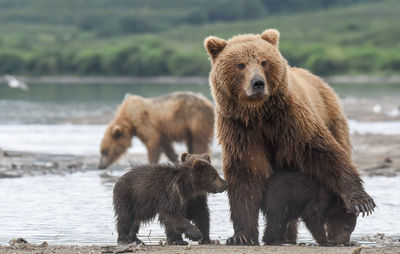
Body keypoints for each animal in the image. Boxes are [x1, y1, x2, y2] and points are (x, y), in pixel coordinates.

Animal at [203, 28, 376, 245]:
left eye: (264, 62)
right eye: (240, 65)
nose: (258, 83)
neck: (258, 114)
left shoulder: (290, 120)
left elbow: (321, 150)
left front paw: (362, 202)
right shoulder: (240, 129)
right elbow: (246, 173)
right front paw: (241, 236)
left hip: (332, 118)